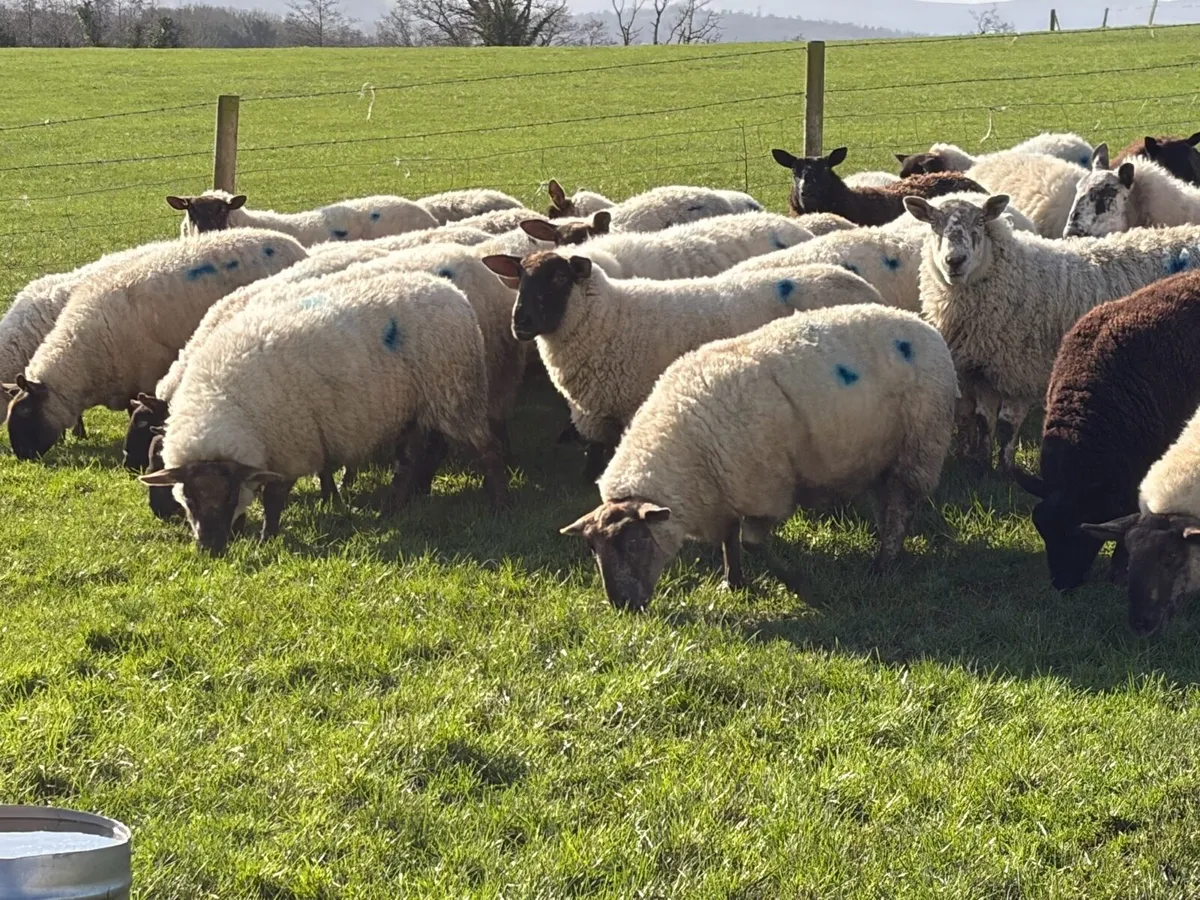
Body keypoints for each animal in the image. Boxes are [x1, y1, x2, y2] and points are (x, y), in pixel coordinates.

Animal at [140, 271, 509, 554]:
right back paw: (393, 508)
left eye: (228, 494)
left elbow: (273, 500)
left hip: (456, 394)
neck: (221, 400)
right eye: (188, 497)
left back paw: (497, 505)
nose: (210, 550)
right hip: (417, 407)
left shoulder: (290, 448)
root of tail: (454, 293)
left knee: (489, 449)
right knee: (410, 459)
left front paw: (266, 538)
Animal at [481, 250, 884, 477]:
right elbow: (593, 456)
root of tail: (863, 287)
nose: (520, 322)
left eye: (560, 277)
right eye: (520, 278)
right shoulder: (594, 412)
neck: (608, 317)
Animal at [559, 303, 957, 611]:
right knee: (889, 504)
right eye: (592, 547)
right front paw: (732, 582)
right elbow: (729, 540)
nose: (621, 605)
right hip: (880, 457)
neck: (685, 452)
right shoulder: (724, 490)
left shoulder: (763, 490)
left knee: (900, 505)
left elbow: (751, 542)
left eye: (633, 541)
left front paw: (794, 581)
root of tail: (923, 324)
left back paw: (884, 562)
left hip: (919, 446)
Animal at [905, 192, 1200, 473]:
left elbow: (1007, 426)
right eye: (934, 224)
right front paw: (980, 464)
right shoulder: (985, 371)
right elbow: (983, 422)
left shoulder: (1020, 370)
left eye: (979, 222)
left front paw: (1005, 469)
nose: (955, 261)